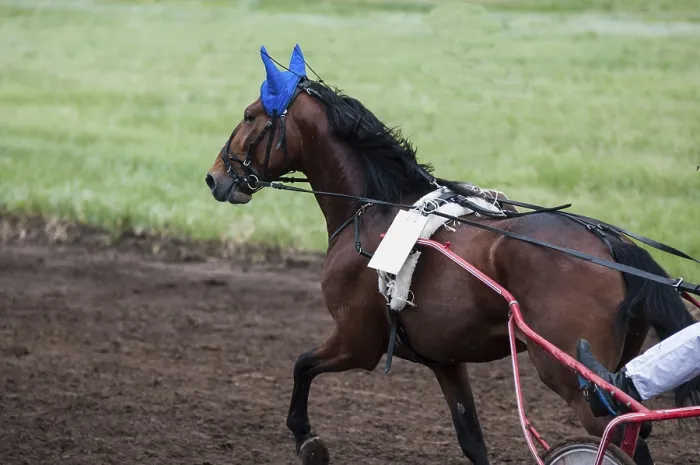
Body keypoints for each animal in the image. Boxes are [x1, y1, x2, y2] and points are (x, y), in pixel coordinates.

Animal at [204, 45, 699, 465]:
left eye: (250, 116)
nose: (214, 177)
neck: (376, 209)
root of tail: (607, 242)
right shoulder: (445, 360)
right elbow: (471, 439)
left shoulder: (356, 341)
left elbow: (301, 365)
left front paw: (308, 439)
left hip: (568, 374)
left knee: (617, 429)